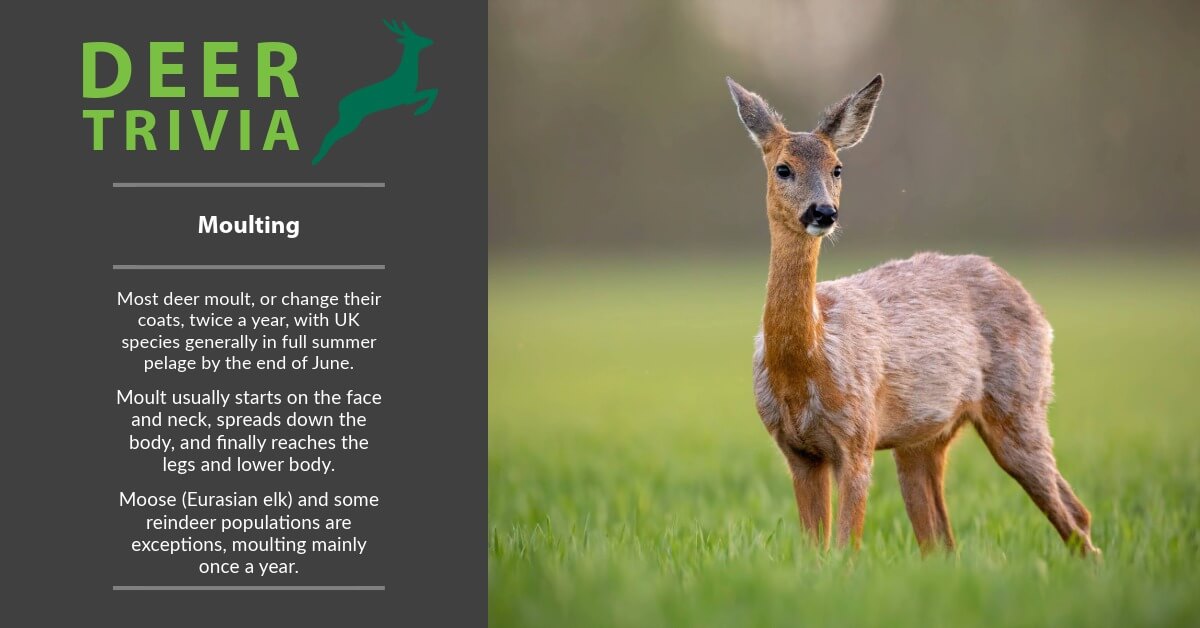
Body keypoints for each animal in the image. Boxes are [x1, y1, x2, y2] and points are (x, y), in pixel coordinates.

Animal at [311, 20, 438, 165]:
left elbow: (434, 90)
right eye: (415, 38)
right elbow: (432, 91)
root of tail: (340, 105)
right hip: (351, 119)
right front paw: (420, 111)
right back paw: (316, 159)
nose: (430, 40)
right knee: (332, 134)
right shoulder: (405, 98)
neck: (406, 77)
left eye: (418, 34)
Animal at [725, 74, 1099, 556]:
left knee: (1074, 516)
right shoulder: (798, 451)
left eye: (838, 168)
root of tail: (1035, 305)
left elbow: (846, 548)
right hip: (923, 442)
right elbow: (815, 551)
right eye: (783, 168)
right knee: (946, 540)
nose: (823, 212)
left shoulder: (857, 436)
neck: (804, 362)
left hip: (1019, 403)